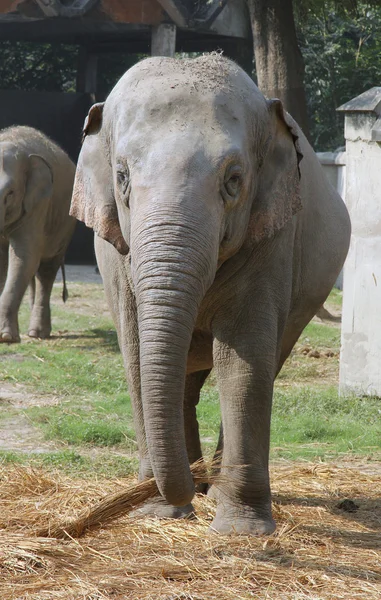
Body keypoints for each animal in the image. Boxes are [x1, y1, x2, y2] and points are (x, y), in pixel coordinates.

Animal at [0, 125, 76, 342]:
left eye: (10, 194)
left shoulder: (38, 204)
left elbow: (24, 257)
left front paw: (5, 337)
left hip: (64, 226)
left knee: (46, 269)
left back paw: (37, 333)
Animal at [69, 55, 350, 536]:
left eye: (234, 180)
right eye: (121, 177)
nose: (183, 485)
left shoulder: (272, 239)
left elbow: (242, 361)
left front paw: (240, 529)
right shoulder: (116, 258)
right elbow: (138, 353)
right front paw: (157, 511)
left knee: (265, 361)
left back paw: (211, 489)